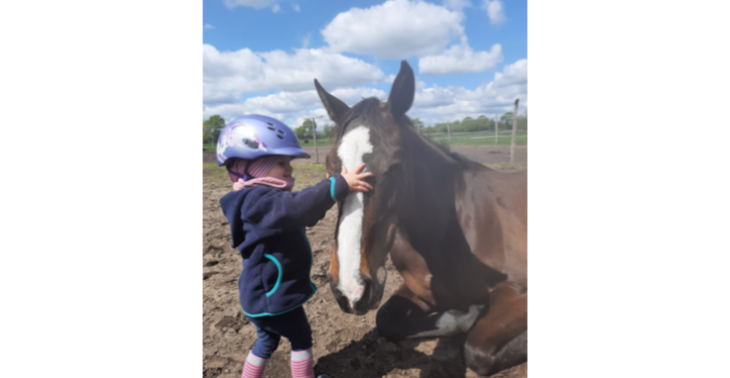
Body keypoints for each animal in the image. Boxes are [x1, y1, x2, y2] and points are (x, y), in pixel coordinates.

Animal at [312, 60, 524, 376]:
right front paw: (465, 314)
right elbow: (386, 321)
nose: (350, 289)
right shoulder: (417, 291)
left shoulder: (518, 293)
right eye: (329, 168)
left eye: (396, 165)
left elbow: (477, 349)